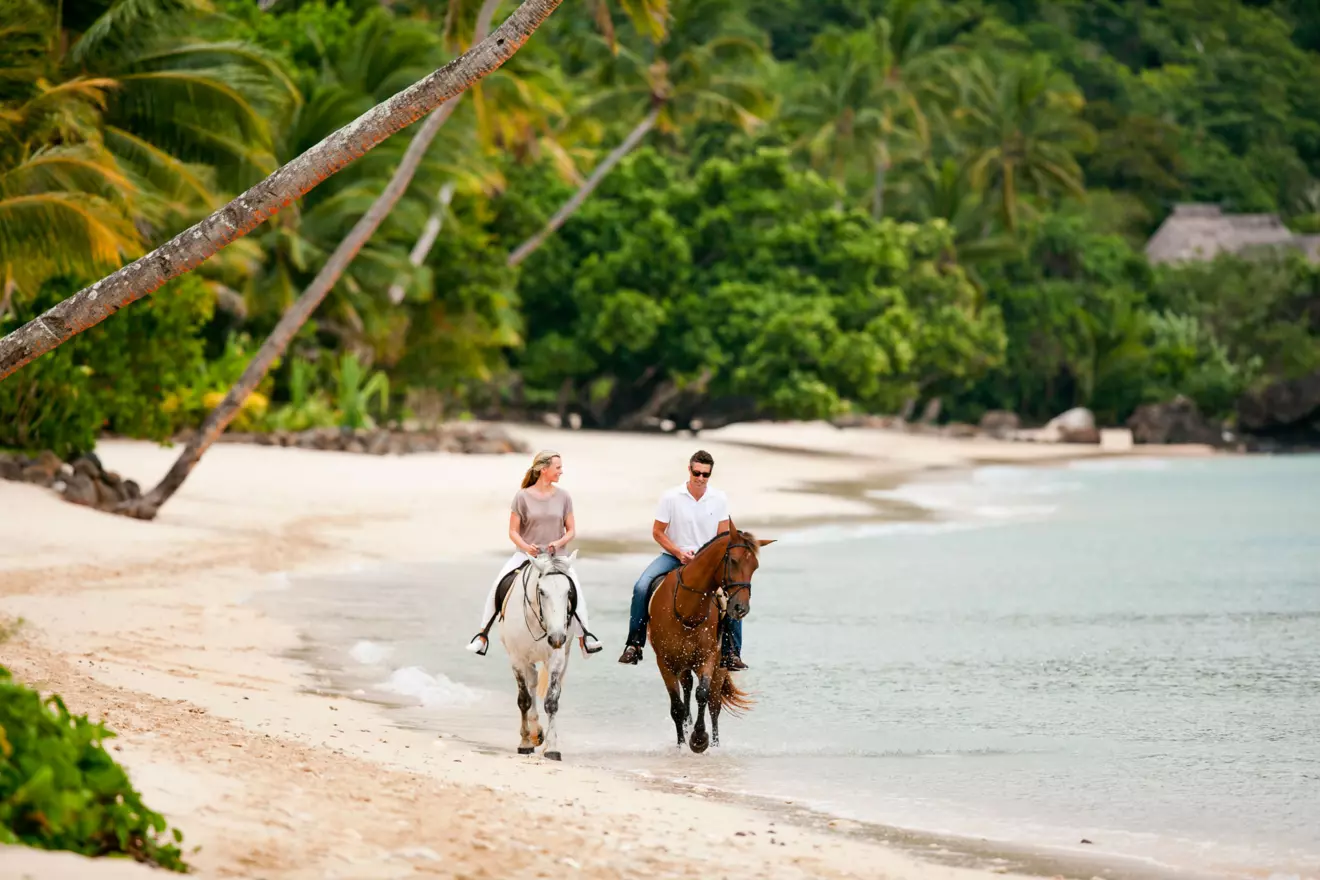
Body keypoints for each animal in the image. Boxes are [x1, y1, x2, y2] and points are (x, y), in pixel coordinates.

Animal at [497, 550, 579, 760]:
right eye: (542, 592)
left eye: (569, 592)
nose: (557, 637)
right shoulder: (517, 659)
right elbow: (524, 700)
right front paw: (525, 743)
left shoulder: (556, 659)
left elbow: (551, 701)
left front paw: (552, 748)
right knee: (531, 685)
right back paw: (533, 735)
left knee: (536, 683)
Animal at [646, 520, 774, 753]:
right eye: (733, 560)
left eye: (755, 567)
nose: (740, 609)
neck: (687, 609)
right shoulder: (665, 663)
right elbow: (677, 706)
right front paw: (681, 745)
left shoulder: (708, 658)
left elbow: (703, 694)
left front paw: (699, 740)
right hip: (682, 664)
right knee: (687, 689)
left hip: (720, 666)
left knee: (714, 704)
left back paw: (715, 744)